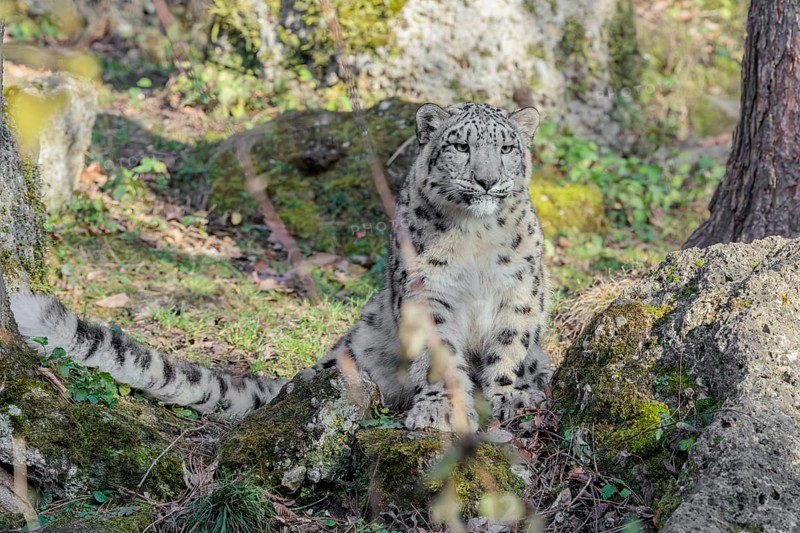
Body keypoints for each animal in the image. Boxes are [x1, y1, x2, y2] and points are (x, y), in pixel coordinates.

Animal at [10, 101, 552, 432]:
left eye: (507, 148)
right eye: (461, 146)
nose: (486, 181)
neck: (473, 240)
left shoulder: (519, 290)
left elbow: (510, 346)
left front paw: (509, 396)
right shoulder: (428, 291)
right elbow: (438, 352)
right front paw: (442, 409)